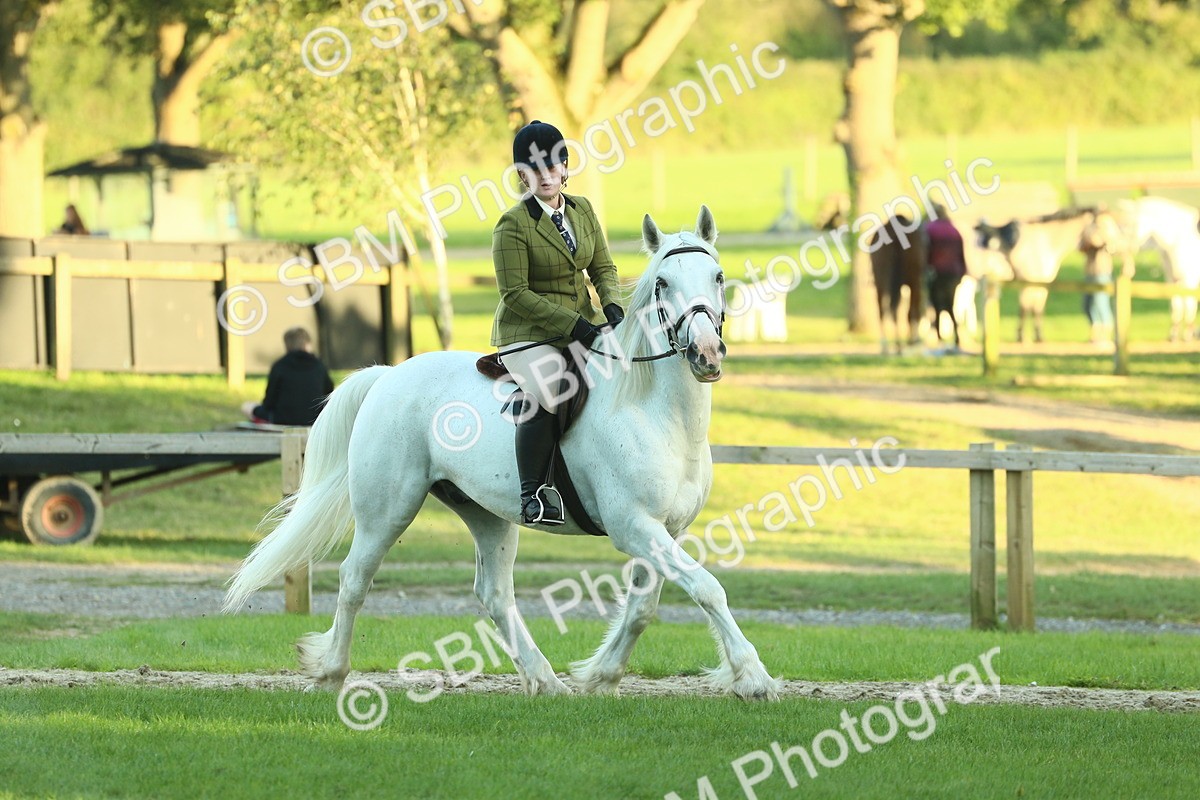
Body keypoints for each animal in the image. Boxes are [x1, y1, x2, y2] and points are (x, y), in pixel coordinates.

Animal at [222, 206, 781, 702]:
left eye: (718, 275)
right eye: (662, 282)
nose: (706, 353)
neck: (655, 411)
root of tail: (389, 374)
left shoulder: (665, 531)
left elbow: (644, 608)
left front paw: (600, 676)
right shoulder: (634, 525)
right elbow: (707, 588)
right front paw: (753, 677)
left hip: (486, 512)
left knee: (494, 594)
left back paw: (545, 681)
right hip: (388, 508)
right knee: (354, 579)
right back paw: (331, 673)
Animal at [867, 213, 927, 353]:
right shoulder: (915, 283)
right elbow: (912, 311)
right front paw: (914, 341)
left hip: (881, 280)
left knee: (883, 310)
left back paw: (887, 347)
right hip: (912, 280)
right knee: (900, 309)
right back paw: (899, 345)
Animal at [975, 208, 1114, 343]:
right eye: (1103, 225)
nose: (1114, 247)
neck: (1045, 243)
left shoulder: (1037, 284)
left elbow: (1036, 308)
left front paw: (1035, 336)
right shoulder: (1030, 284)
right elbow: (1027, 308)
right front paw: (1024, 336)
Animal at [1117, 196, 1200, 341]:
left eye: (1131, 226)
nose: (1117, 249)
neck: (1178, 242)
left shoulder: (1189, 280)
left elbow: (1189, 305)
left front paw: (1188, 335)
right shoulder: (1172, 279)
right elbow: (1176, 304)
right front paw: (1173, 335)